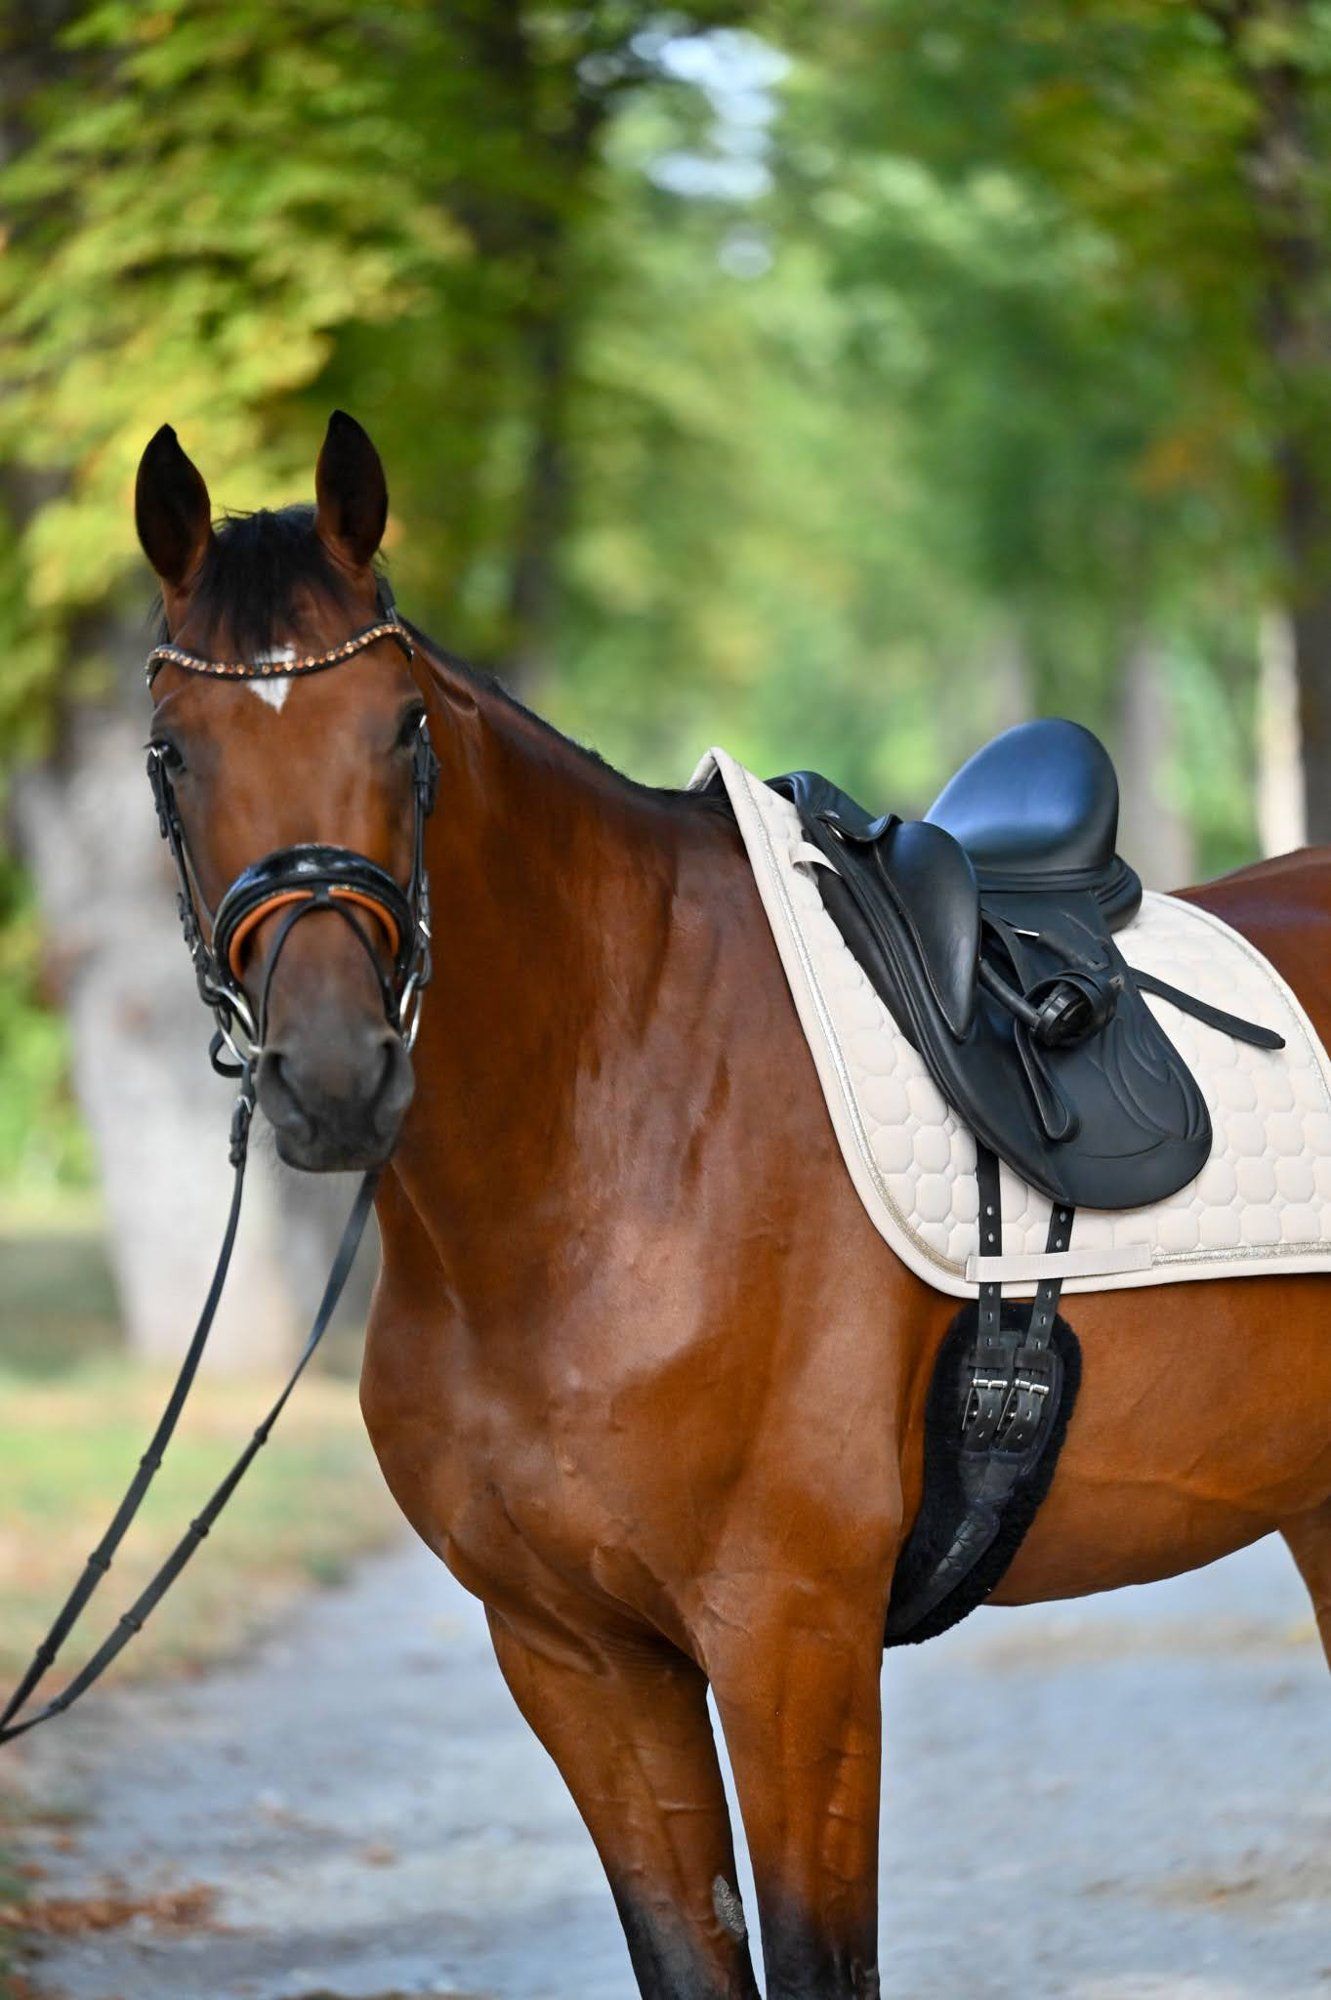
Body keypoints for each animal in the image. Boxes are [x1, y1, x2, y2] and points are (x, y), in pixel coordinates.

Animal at [135, 411, 1331, 2000]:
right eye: (170, 753)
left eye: (403, 730)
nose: (330, 1075)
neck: (606, 1148)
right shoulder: (577, 1660)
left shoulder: (789, 1645)